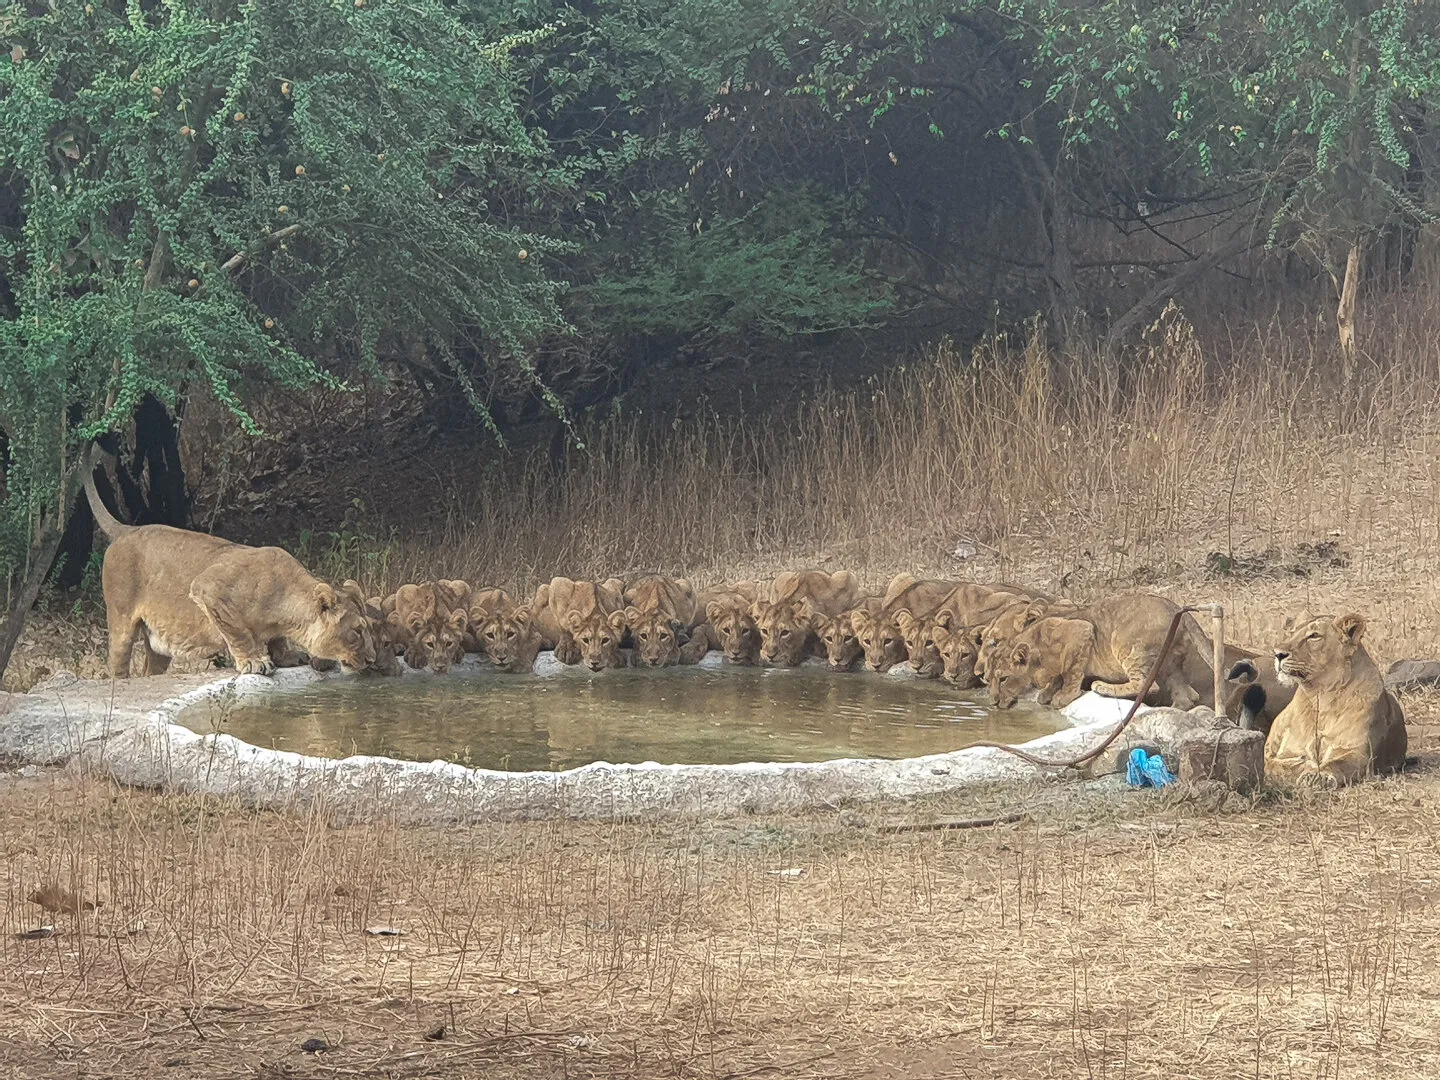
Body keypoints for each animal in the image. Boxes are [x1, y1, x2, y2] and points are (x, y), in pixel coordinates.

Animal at [83, 448, 377, 678]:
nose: (373, 659)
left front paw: (286, 656)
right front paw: (253, 661)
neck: (285, 606)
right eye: (357, 631)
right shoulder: (207, 588)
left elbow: (276, 639)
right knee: (118, 666)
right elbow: (238, 632)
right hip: (121, 621)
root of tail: (126, 529)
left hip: (158, 644)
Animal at [988, 593, 1212, 710]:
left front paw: (1063, 696)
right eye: (987, 679)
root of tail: (1178, 609)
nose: (993, 701)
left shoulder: (1082, 631)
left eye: (1003, 679)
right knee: (1187, 696)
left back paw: (1102, 687)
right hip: (1169, 663)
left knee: (1145, 684)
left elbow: (1071, 672)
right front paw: (1047, 693)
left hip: (1126, 644)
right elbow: (1058, 677)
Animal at [1263, 612, 1406, 786]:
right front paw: (1307, 765)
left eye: (1314, 636)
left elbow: (1337, 763)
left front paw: (1319, 775)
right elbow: (1278, 765)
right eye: (1292, 633)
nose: (1278, 653)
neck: (1320, 694)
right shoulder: (1287, 752)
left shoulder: (1359, 753)